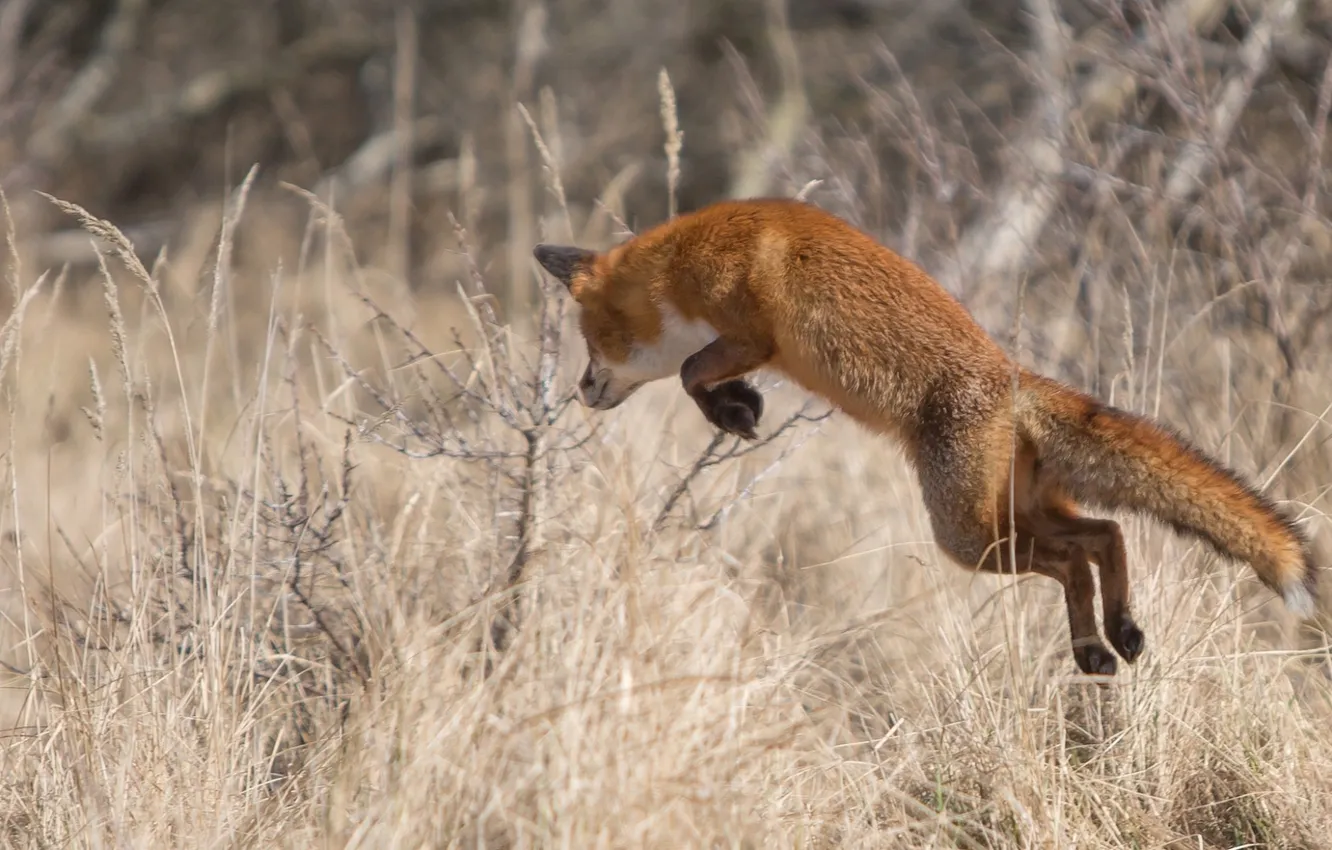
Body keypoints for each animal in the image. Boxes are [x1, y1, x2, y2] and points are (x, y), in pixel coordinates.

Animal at [533, 197, 1318, 676]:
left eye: (588, 341)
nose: (580, 392)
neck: (688, 257)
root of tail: (1013, 380)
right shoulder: (749, 340)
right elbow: (694, 370)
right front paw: (735, 407)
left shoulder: (754, 334)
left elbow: (691, 369)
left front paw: (737, 410)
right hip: (1008, 514)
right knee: (1106, 536)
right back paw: (1112, 636)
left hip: (967, 534)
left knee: (1074, 556)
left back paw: (1096, 644)